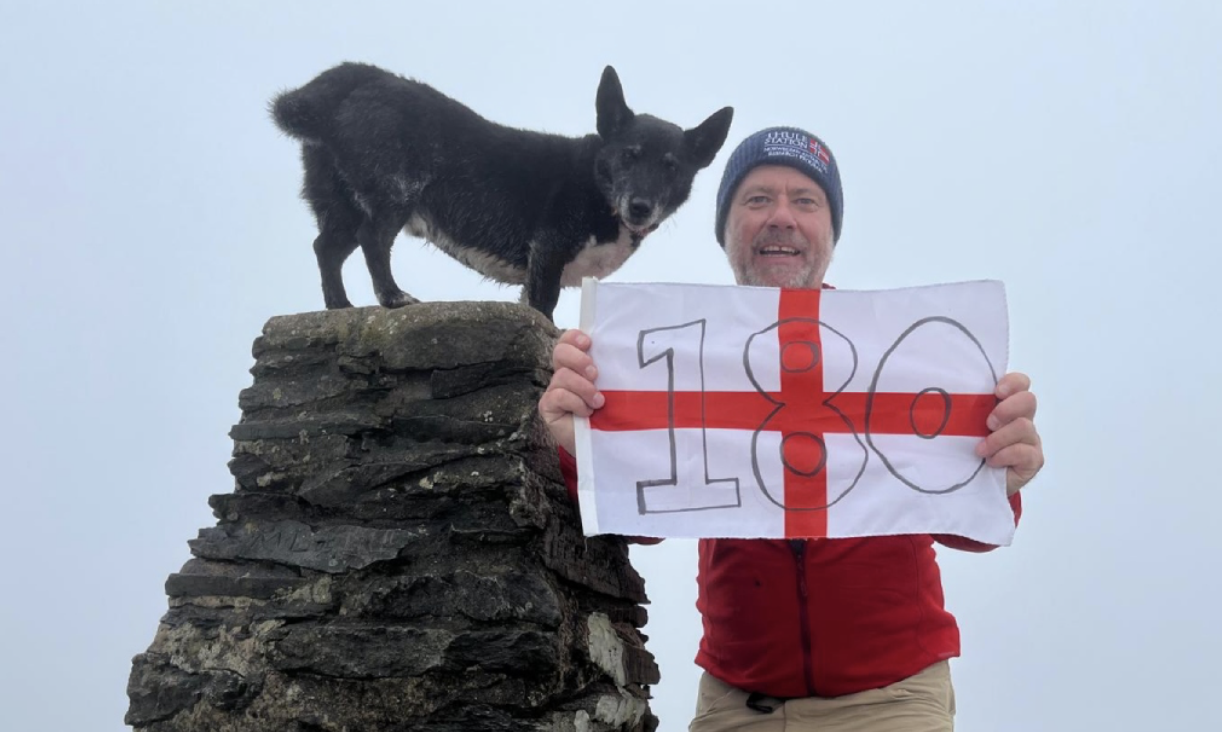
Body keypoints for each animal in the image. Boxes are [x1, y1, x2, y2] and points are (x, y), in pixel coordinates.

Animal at [272, 64, 728, 322]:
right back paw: (393, 297)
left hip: (343, 205)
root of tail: (357, 80)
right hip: (394, 193)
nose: (640, 207)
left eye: (671, 166)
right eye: (629, 156)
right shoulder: (548, 250)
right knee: (373, 240)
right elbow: (545, 307)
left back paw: (339, 306)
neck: (596, 184)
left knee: (326, 248)